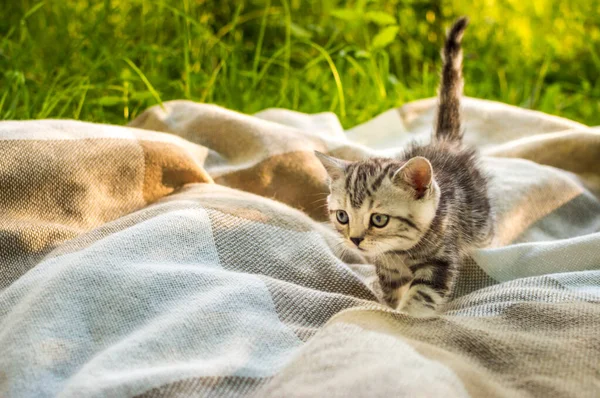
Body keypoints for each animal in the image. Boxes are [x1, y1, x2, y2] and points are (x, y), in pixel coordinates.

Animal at [314, 17, 492, 318]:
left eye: (379, 219)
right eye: (342, 216)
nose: (355, 240)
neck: (401, 252)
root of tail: (444, 142)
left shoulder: (441, 259)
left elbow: (422, 294)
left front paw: (405, 316)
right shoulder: (387, 267)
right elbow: (391, 289)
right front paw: (390, 306)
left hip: (481, 224)